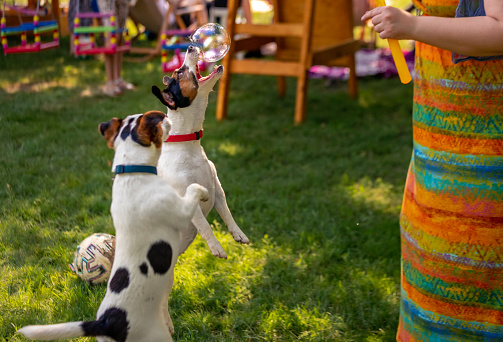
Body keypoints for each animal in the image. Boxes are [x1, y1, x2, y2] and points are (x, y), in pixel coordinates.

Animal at [17, 111, 207, 340]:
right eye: (159, 123)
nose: (168, 119)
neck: (132, 172)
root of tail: (106, 322)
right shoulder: (181, 211)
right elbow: (193, 188)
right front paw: (204, 192)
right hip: (158, 336)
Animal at [152, 46, 250, 334]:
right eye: (180, 72)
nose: (190, 46)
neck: (187, 143)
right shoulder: (187, 201)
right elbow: (206, 226)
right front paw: (217, 248)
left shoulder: (217, 190)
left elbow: (227, 214)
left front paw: (238, 235)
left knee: (162, 298)